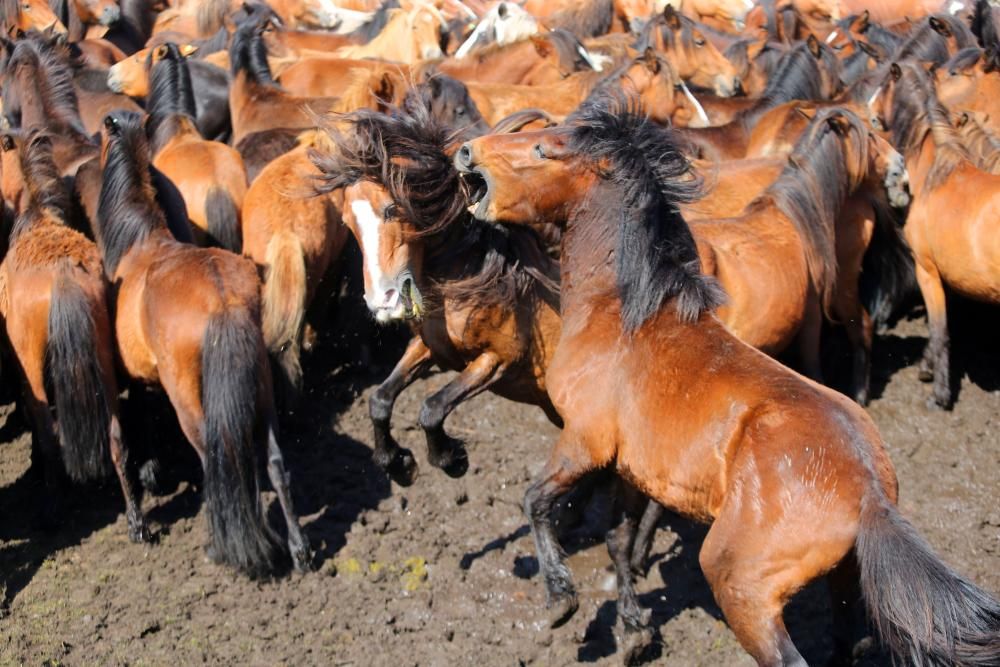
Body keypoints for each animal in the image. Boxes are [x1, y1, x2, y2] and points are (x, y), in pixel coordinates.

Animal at [0, 129, 148, 544]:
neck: (36, 213)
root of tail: (62, 276)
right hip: (103, 360)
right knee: (116, 438)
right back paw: (136, 522)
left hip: (34, 369)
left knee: (51, 441)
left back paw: (50, 511)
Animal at [94, 108, 312, 576]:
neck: (140, 242)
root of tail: (222, 300)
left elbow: (122, 440)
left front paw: (138, 522)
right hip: (262, 393)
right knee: (273, 462)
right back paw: (299, 549)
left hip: (192, 407)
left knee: (219, 465)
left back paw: (228, 547)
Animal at [868, 60, 1000, 410]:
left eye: (886, 82)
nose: (869, 109)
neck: (933, 176)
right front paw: (927, 367)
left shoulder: (927, 271)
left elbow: (939, 330)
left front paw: (939, 393)